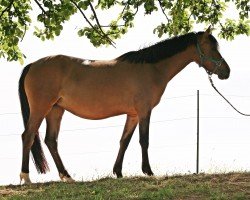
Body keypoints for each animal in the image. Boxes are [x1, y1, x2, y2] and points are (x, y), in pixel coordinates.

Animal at [19, 27, 230, 184]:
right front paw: (148, 171)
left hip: (56, 110)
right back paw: (26, 177)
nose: (226, 72)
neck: (152, 68)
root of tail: (32, 65)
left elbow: (124, 141)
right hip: (41, 108)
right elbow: (143, 140)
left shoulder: (133, 114)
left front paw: (118, 172)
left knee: (51, 141)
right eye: (212, 48)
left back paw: (67, 176)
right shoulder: (144, 111)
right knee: (28, 136)